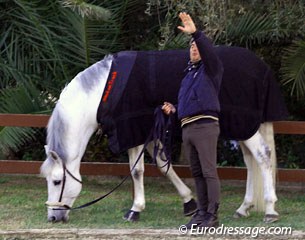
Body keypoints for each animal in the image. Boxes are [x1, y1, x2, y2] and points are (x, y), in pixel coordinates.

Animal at [40, 47, 284, 224]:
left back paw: (270, 209)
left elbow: (137, 171)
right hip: (243, 129)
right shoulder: (151, 132)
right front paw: (189, 202)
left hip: (245, 127)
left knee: (263, 157)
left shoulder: (134, 132)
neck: (102, 92)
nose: (53, 217)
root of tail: (262, 69)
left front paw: (135, 209)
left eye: (57, 181)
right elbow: (163, 165)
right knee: (250, 162)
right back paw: (244, 207)